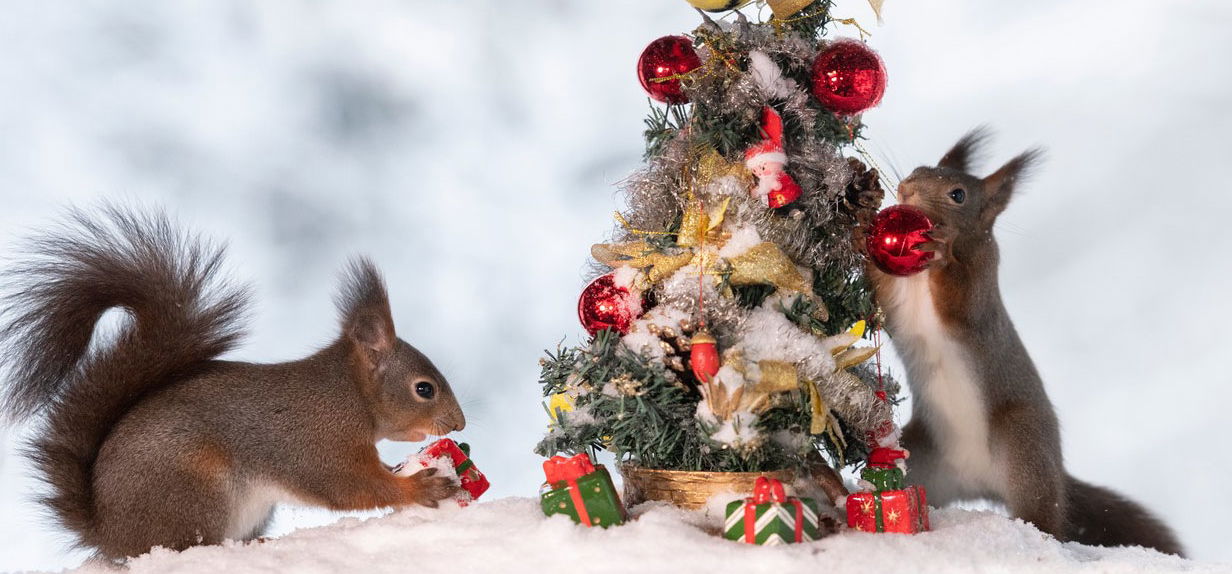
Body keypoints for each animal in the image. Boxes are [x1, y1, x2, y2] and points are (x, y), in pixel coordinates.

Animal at [0, 205, 465, 561]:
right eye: (424, 389)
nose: (459, 424)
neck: (350, 394)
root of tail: (109, 533)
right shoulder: (320, 442)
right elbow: (351, 486)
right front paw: (419, 485)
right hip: (194, 490)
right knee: (190, 545)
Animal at [867, 129, 1182, 556]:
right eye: (918, 168)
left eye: (958, 195)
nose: (906, 189)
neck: (919, 277)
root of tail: (976, 482)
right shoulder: (897, 300)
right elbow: (882, 295)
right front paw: (859, 222)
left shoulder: (980, 288)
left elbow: (958, 301)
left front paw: (942, 251)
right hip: (923, 461)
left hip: (1025, 448)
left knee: (1047, 519)